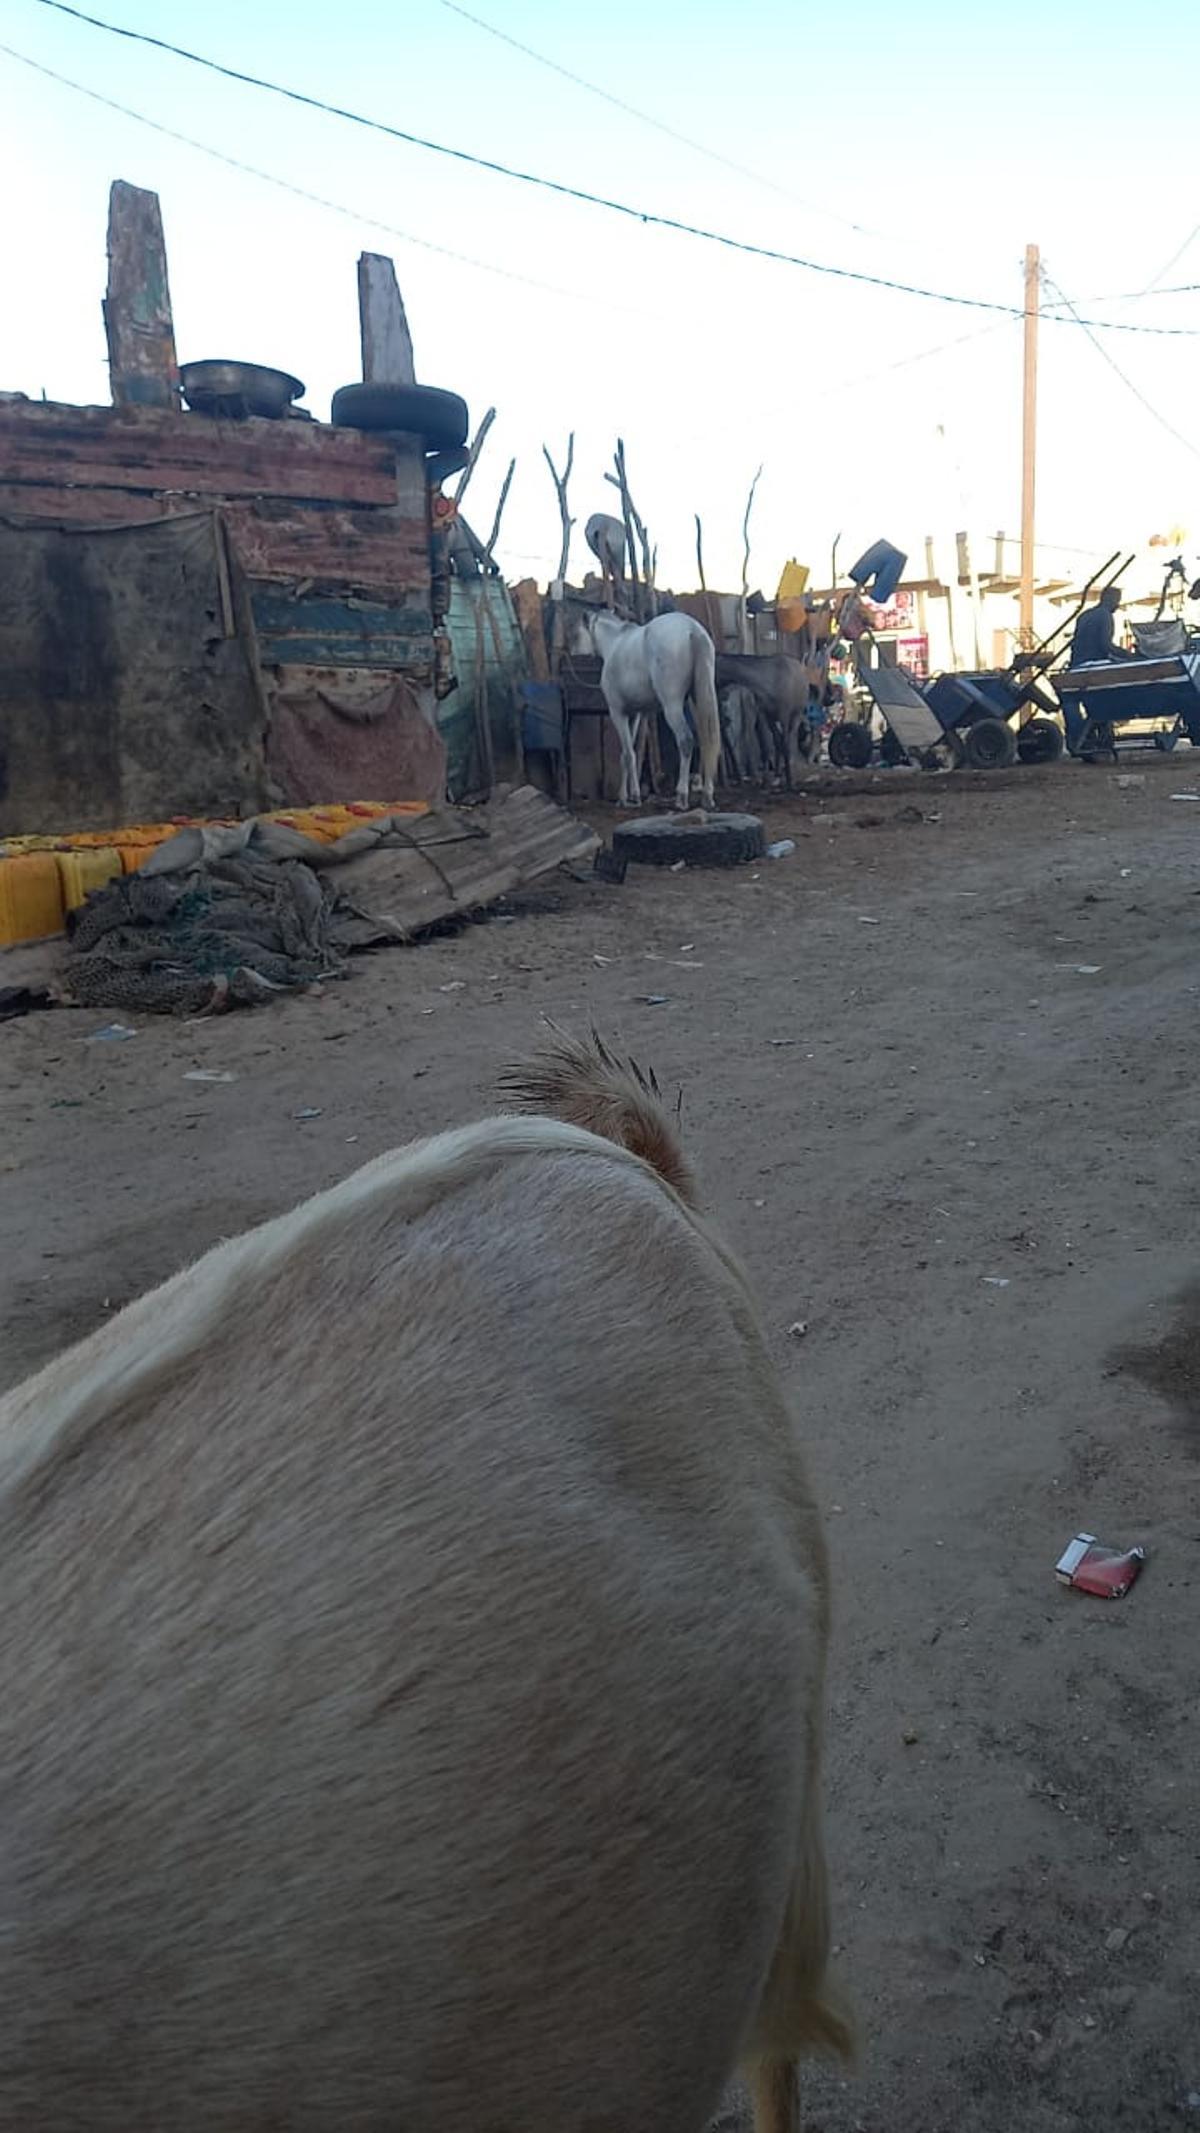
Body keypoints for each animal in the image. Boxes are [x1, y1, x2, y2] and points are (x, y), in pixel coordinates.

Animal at [588, 618, 720, 814]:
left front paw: (634, 797)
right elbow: (626, 753)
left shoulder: (617, 713)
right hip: (698, 701)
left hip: (672, 706)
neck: (615, 643)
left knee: (686, 741)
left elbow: (629, 754)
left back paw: (681, 797)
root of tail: (692, 629)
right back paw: (707, 796)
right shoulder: (633, 714)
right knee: (706, 740)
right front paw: (622, 798)